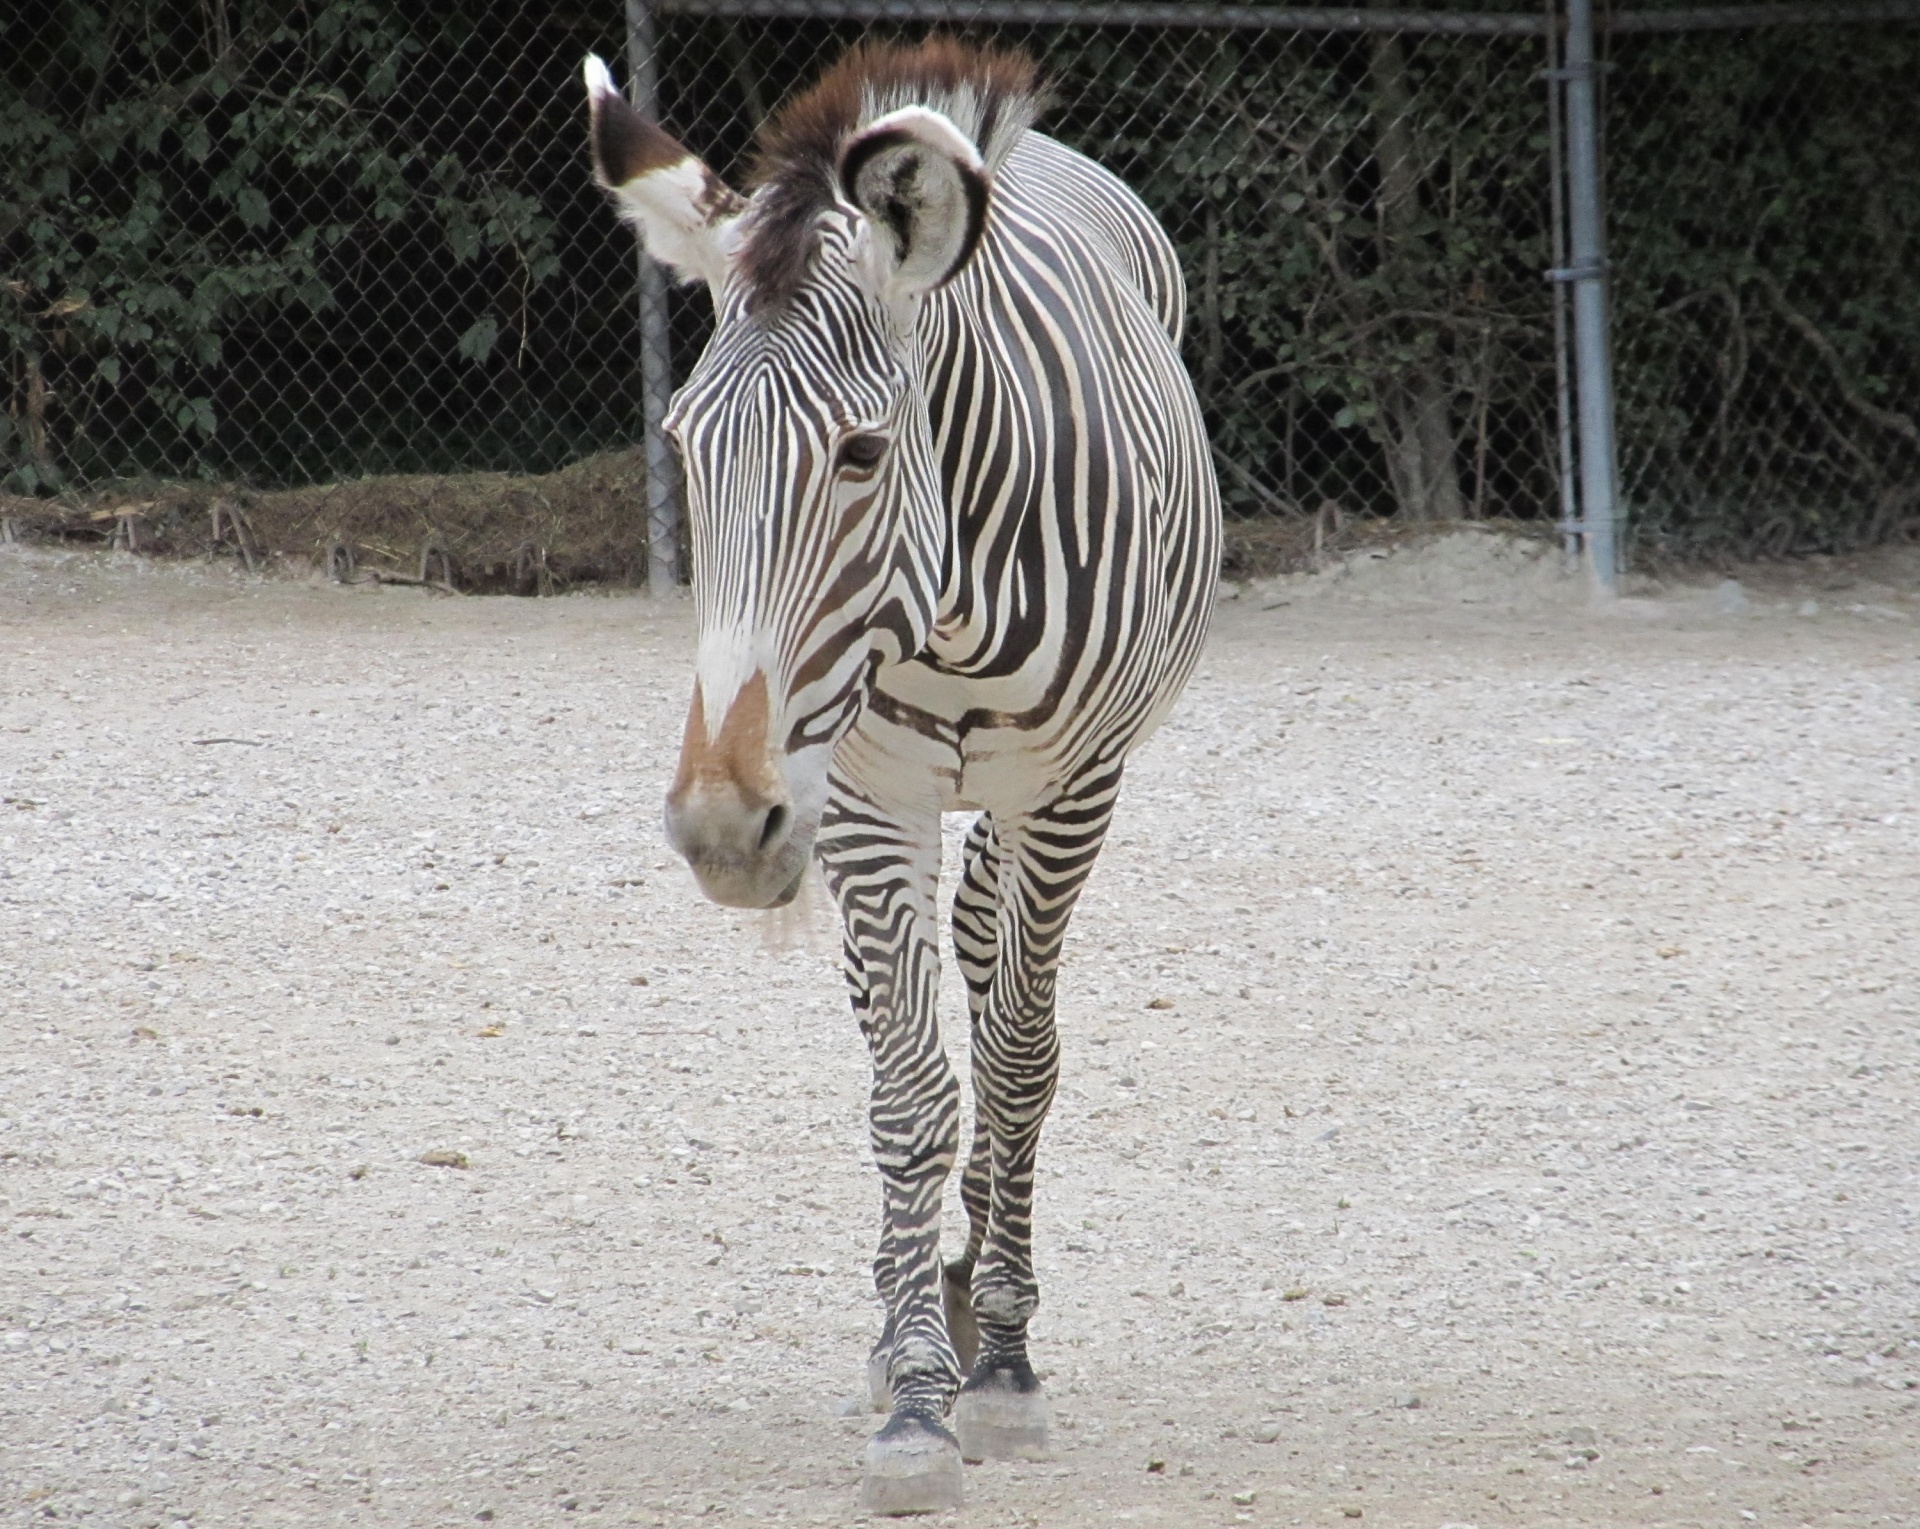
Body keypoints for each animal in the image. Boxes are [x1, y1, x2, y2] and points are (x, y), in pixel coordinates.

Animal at [579, 38, 1213, 1513]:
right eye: (684, 445)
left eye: (861, 453)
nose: (720, 830)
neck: (955, 594)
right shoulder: (861, 794)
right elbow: (912, 1086)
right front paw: (918, 1382)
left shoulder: (1071, 788)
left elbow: (1020, 1060)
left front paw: (1003, 1365)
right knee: (901, 1004)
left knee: (993, 975)